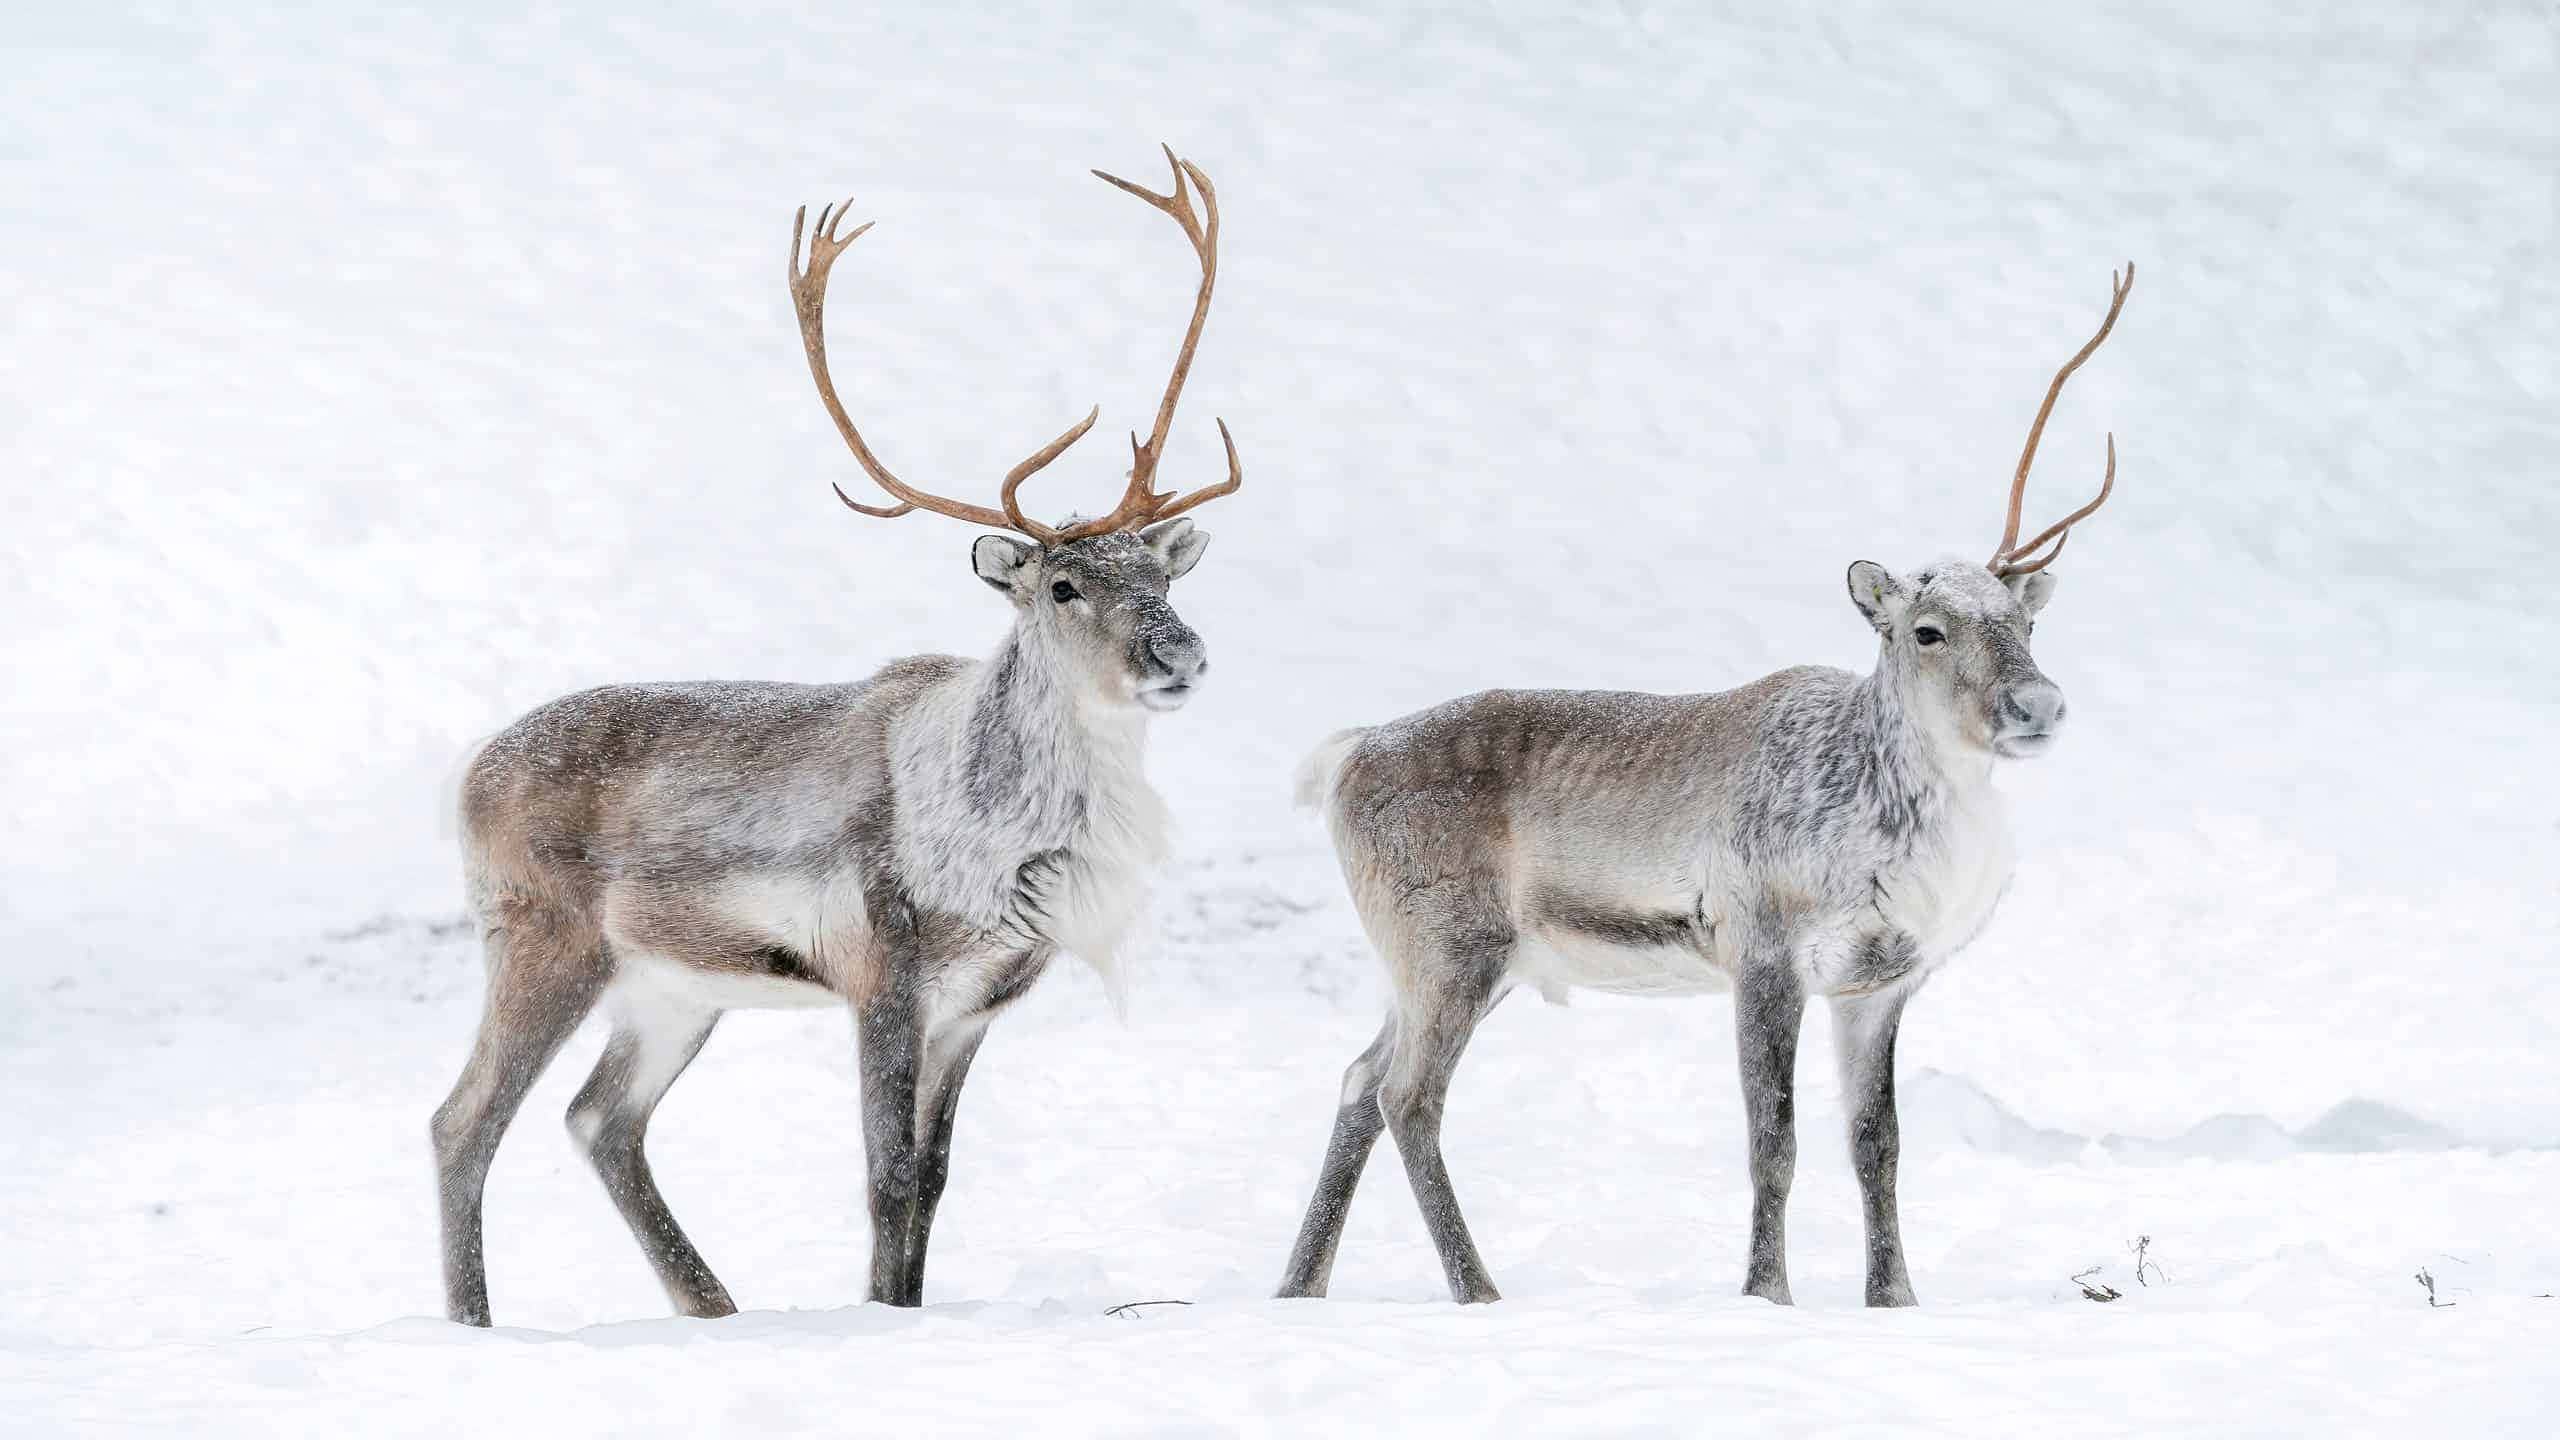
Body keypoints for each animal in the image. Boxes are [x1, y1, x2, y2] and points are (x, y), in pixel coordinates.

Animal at [430, 148, 1240, 1327]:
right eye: (1062, 585)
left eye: (1163, 574)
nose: (1179, 654)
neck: (1010, 844)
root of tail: (466, 774)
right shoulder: (882, 973)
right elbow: (884, 1172)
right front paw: (878, 1315)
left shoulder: (977, 1004)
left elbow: (935, 1177)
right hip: (542, 937)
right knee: (465, 1121)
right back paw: (478, 1322)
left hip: (673, 986)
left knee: (600, 1119)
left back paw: (711, 1305)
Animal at [1275, 266, 2135, 1309]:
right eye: (1928, 629)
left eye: (2026, 620)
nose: (2037, 704)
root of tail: (1346, 757)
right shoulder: (1763, 955)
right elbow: (1775, 1141)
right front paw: (1766, 1295)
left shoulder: (1880, 985)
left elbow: (1878, 1148)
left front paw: (1895, 1299)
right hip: (1450, 948)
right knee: (1409, 1097)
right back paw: (1478, 1292)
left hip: (1443, 967)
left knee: (1359, 1081)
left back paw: (1299, 1288)